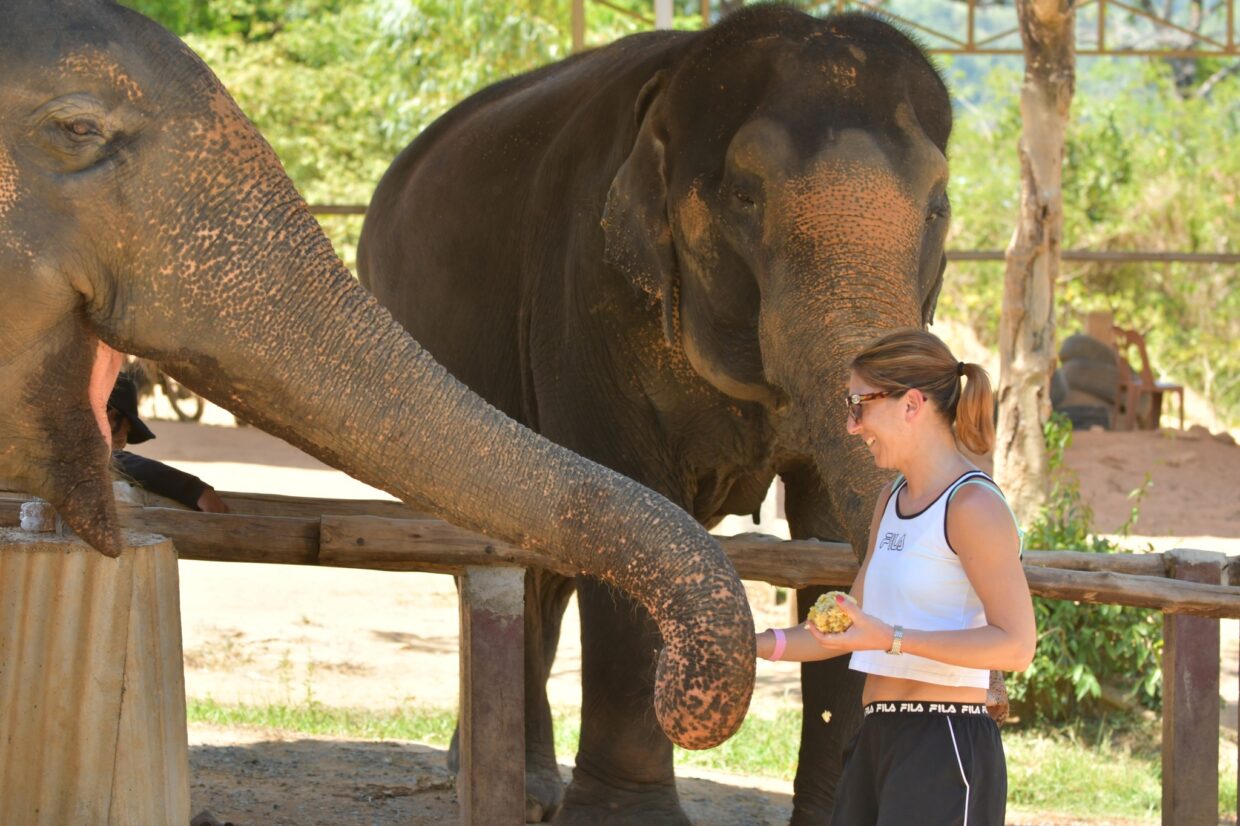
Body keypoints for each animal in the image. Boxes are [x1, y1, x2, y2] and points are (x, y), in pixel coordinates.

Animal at [357, 5, 952, 823]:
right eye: (745, 195)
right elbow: (635, 503)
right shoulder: (585, 294)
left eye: (938, 207)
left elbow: (830, 530)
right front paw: (622, 818)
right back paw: (515, 788)